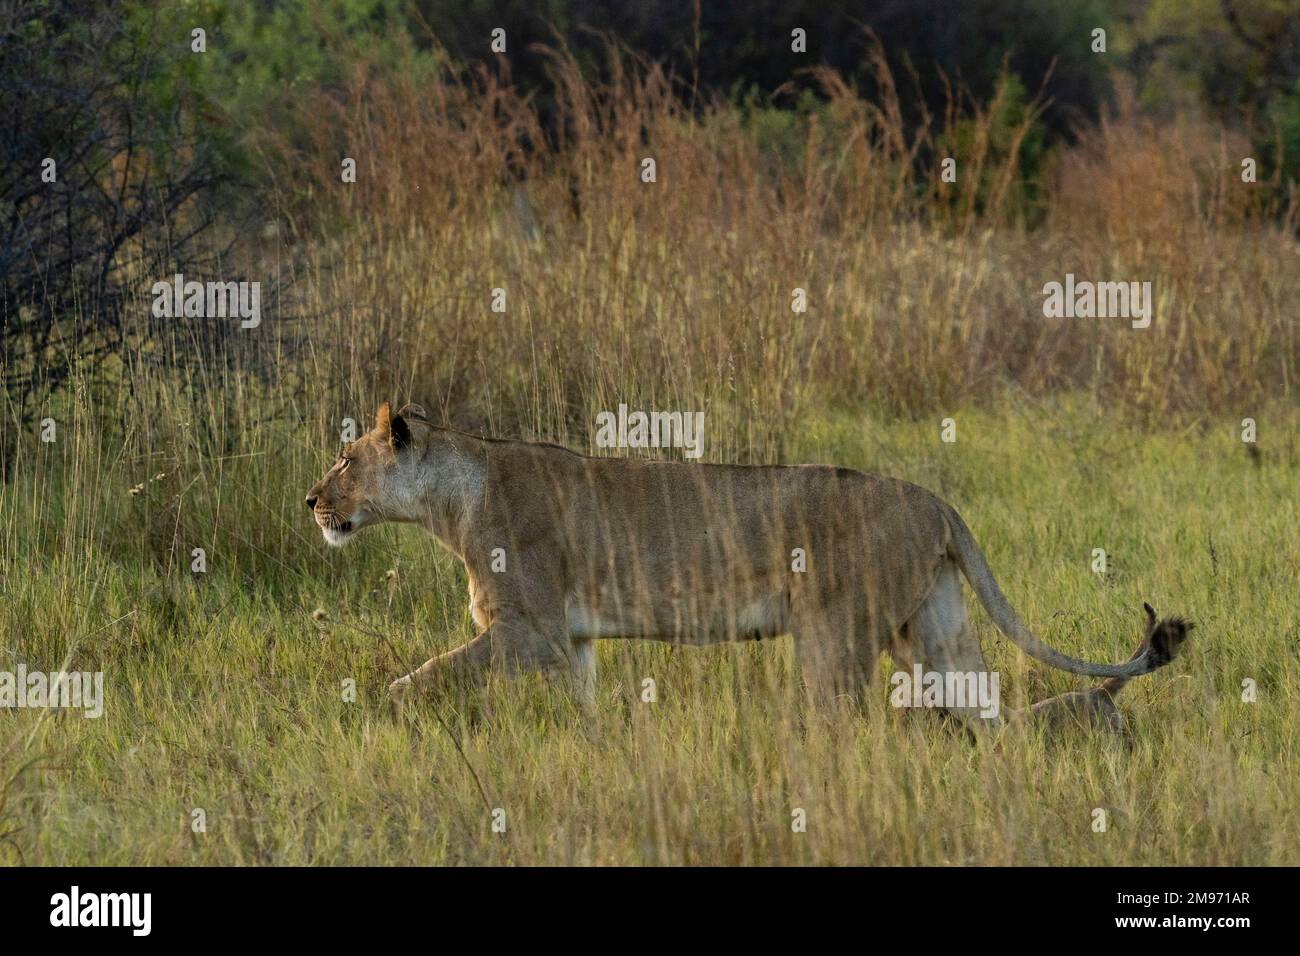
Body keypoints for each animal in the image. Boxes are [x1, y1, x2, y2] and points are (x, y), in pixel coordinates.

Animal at [305, 403, 1191, 733]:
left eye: (346, 457)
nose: (312, 500)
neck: (452, 497)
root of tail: (932, 499)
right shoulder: (573, 644)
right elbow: (581, 710)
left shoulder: (531, 631)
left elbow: (430, 672)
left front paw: (381, 710)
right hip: (931, 621)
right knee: (986, 709)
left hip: (836, 632)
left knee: (841, 719)